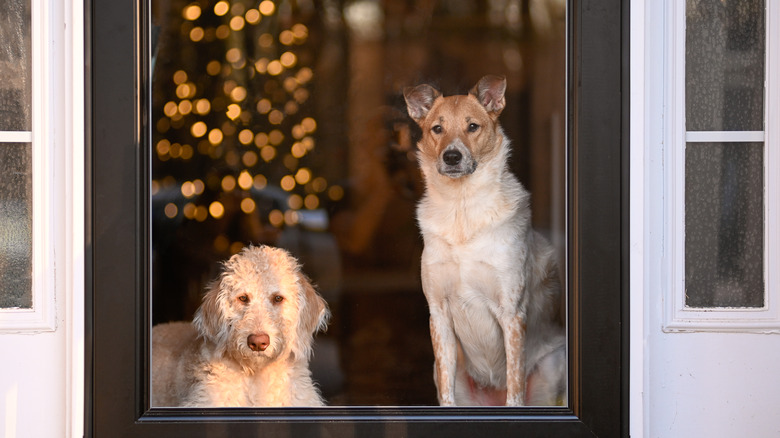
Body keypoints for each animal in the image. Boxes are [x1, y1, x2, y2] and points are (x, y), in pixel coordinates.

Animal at [402, 75, 568, 408]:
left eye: (472, 126)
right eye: (437, 128)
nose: (452, 156)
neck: (462, 208)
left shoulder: (512, 313)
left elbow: (515, 388)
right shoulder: (438, 315)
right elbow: (447, 392)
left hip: (553, 365)